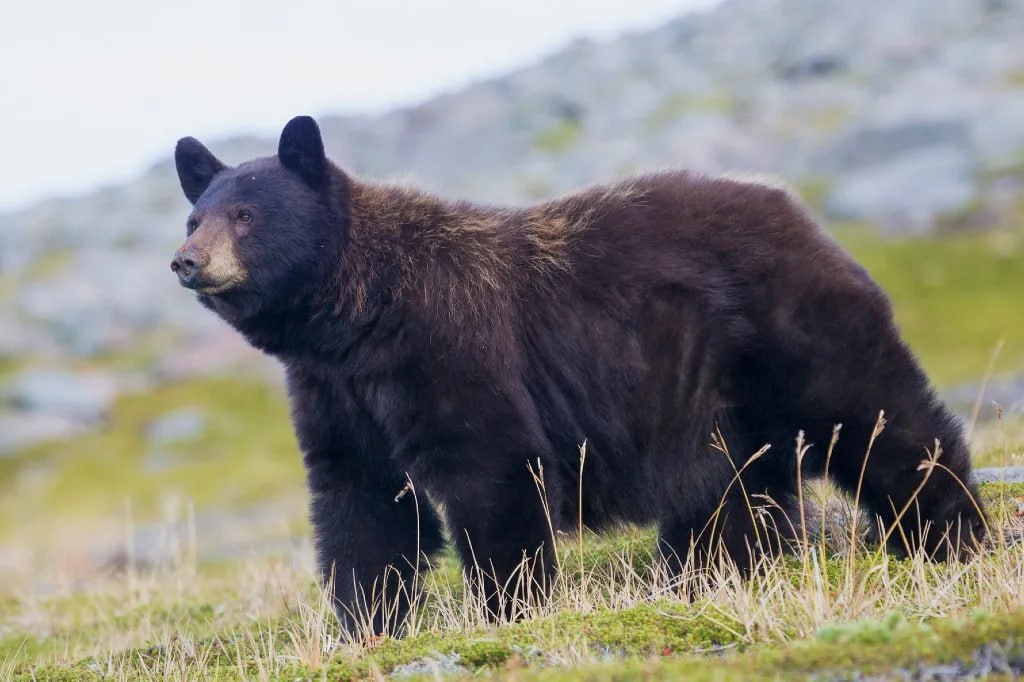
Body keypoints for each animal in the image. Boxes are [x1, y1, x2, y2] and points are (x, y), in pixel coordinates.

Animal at [171, 115, 986, 635]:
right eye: (195, 217)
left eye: (245, 214)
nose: (187, 261)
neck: (356, 317)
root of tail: (798, 208)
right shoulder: (337, 394)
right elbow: (361, 502)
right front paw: (366, 621)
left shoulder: (448, 346)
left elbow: (491, 470)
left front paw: (508, 606)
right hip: (709, 394)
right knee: (730, 491)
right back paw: (707, 573)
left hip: (790, 331)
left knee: (877, 418)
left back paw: (949, 531)